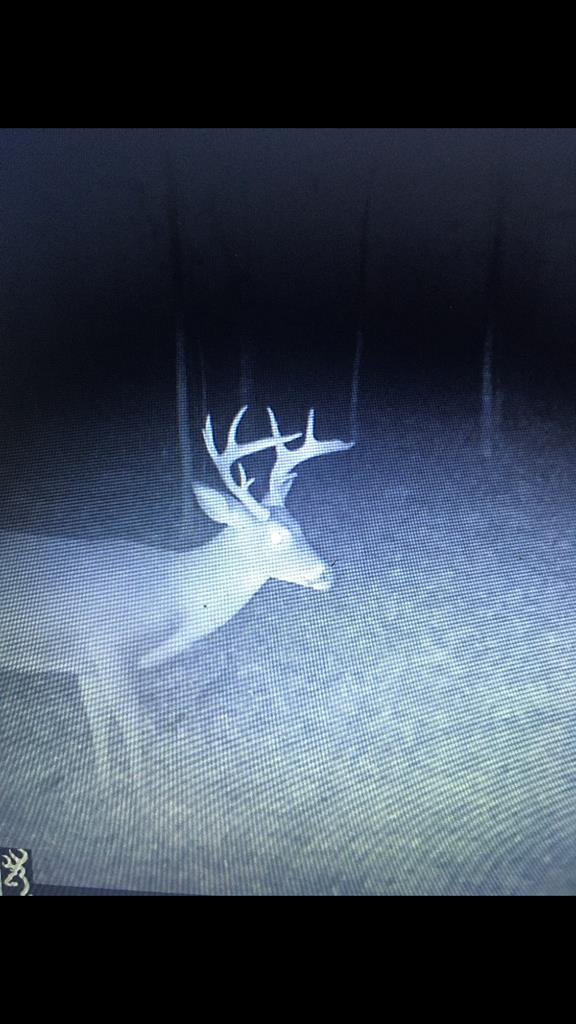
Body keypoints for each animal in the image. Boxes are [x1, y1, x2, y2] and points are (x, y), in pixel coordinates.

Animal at [0, 406, 354, 778]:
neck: (171, 595)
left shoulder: (86, 665)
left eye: (300, 526)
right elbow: (135, 727)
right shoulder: (107, 649)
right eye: (276, 536)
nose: (326, 573)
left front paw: (104, 785)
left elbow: (101, 731)